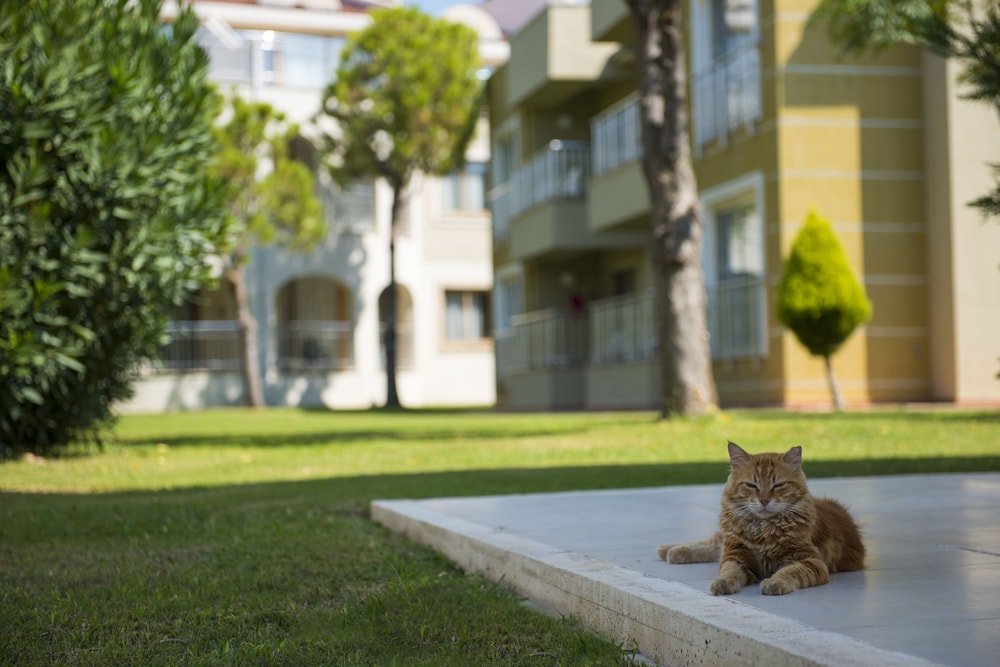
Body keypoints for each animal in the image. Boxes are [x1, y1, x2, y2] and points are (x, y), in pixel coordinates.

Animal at [660, 444, 864, 596]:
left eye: (778, 485)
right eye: (752, 485)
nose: (764, 500)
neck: (762, 531)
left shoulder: (811, 562)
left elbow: (789, 572)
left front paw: (773, 583)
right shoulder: (736, 557)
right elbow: (728, 572)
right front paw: (721, 584)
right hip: (727, 538)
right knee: (710, 544)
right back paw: (669, 550)